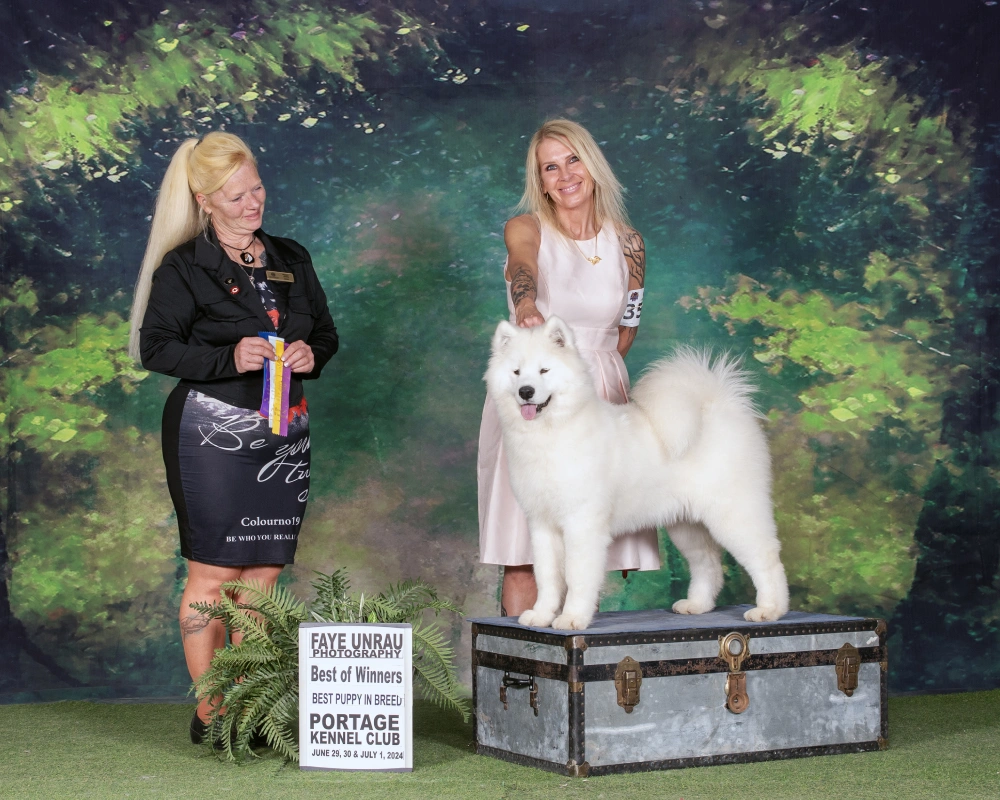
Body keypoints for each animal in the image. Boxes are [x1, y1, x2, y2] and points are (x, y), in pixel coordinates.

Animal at [488, 318, 792, 632]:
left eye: (544, 370)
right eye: (516, 372)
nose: (525, 391)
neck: (551, 434)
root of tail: (718, 404)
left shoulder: (582, 523)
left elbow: (576, 577)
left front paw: (572, 617)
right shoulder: (542, 524)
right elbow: (547, 577)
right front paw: (541, 615)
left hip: (733, 514)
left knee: (767, 558)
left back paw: (770, 609)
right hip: (687, 525)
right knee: (707, 562)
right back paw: (696, 605)